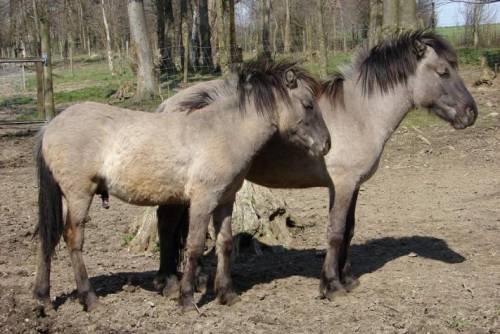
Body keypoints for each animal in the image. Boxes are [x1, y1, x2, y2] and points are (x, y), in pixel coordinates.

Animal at [34, 59, 332, 310]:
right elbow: (195, 245)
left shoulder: (225, 200)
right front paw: (187, 299)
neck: (222, 131)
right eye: (308, 104)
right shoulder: (202, 200)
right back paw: (90, 298)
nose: (326, 144)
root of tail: (50, 126)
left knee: (49, 238)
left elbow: (224, 243)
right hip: (79, 195)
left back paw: (43, 300)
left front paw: (227, 294)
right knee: (73, 239)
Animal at [158, 30, 478, 302]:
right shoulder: (342, 185)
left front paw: (347, 279)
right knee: (168, 225)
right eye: (443, 71)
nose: (471, 113)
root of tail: (169, 104)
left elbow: (349, 229)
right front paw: (332, 286)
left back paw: (192, 280)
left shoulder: (355, 185)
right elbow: (335, 231)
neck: (359, 114)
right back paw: (171, 283)